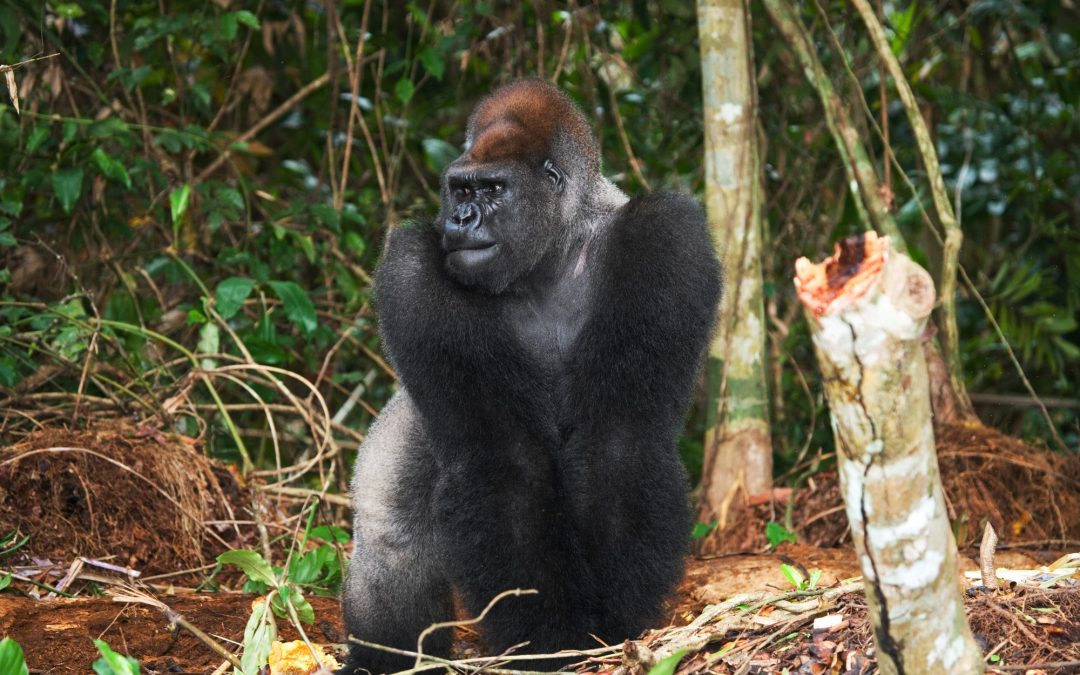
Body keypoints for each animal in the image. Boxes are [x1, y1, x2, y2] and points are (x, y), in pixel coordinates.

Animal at [341, 79, 722, 673]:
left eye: (493, 189)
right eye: (459, 189)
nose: (459, 221)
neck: (554, 251)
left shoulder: (665, 235)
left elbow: (619, 442)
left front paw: (613, 623)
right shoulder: (410, 268)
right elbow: (505, 459)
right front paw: (548, 639)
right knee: (392, 534)